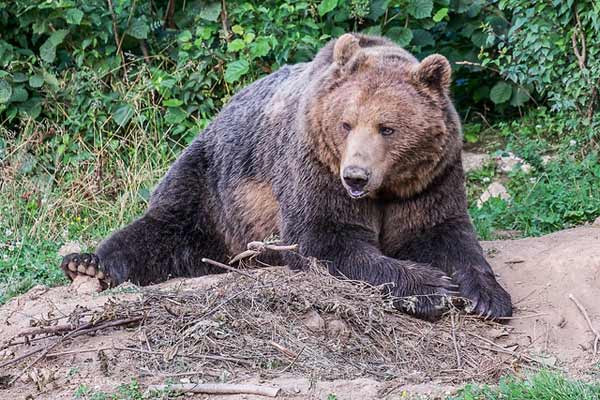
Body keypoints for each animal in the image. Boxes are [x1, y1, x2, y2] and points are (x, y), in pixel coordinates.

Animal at [62, 33, 510, 322]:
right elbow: (324, 239)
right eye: (346, 123)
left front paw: (488, 296)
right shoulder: (315, 165)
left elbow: (444, 233)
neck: (386, 188)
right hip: (212, 181)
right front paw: (432, 287)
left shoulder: (430, 178)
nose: (356, 177)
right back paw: (88, 264)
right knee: (165, 228)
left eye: (388, 128)